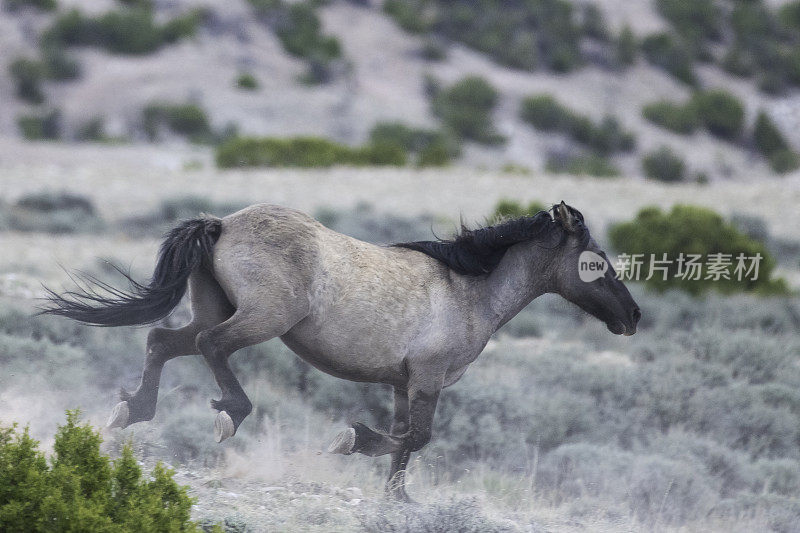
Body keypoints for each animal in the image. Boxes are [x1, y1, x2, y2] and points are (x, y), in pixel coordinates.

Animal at [45, 200, 644, 498]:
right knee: (210, 347)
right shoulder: (427, 380)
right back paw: (229, 415)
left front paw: (397, 498)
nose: (634, 316)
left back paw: (129, 411)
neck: (469, 289)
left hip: (216, 310)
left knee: (163, 341)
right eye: (595, 262)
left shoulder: (404, 383)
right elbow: (415, 437)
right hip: (261, 320)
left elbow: (406, 441)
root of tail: (221, 225)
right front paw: (349, 441)